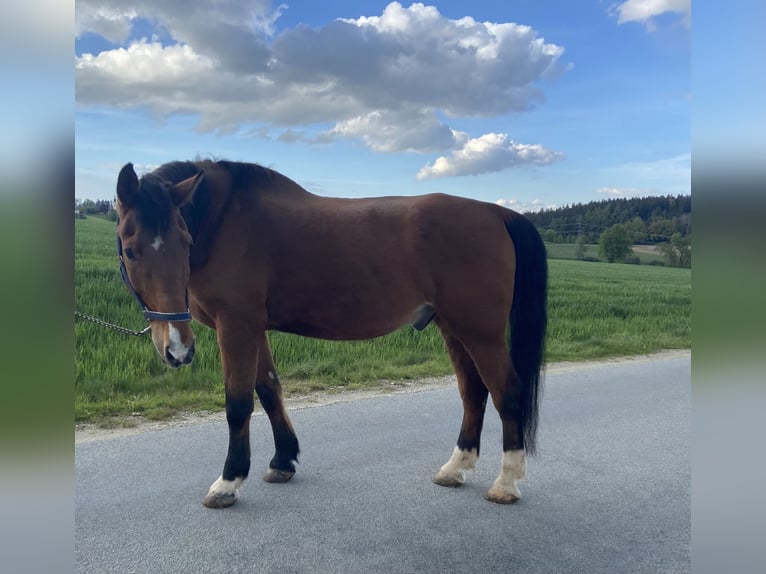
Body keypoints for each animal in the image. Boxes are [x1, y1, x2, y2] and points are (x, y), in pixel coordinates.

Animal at [114, 160, 548, 510]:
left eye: (185, 242)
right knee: (473, 392)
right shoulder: (255, 328)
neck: (224, 220)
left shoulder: (236, 325)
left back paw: (506, 483)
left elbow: (238, 403)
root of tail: (496, 212)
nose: (177, 349)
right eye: (132, 250)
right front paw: (283, 461)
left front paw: (228, 482)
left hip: (481, 333)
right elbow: (269, 390)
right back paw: (455, 468)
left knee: (507, 393)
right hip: (453, 329)